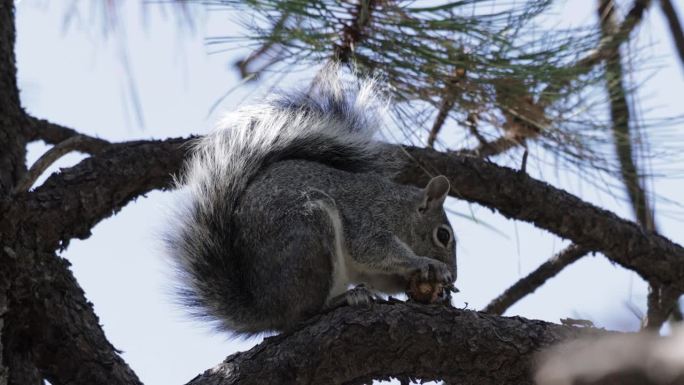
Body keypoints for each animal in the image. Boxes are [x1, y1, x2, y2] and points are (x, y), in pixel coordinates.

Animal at [166, 70, 456, 334]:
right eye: (443, 235)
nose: (454, 276)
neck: (401, 211)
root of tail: (266, 308)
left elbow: (377, 273)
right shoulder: (369, 218)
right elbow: (373, 249)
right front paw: (428, 264)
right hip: (308, 234)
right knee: (304, 312)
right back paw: (344, 298)